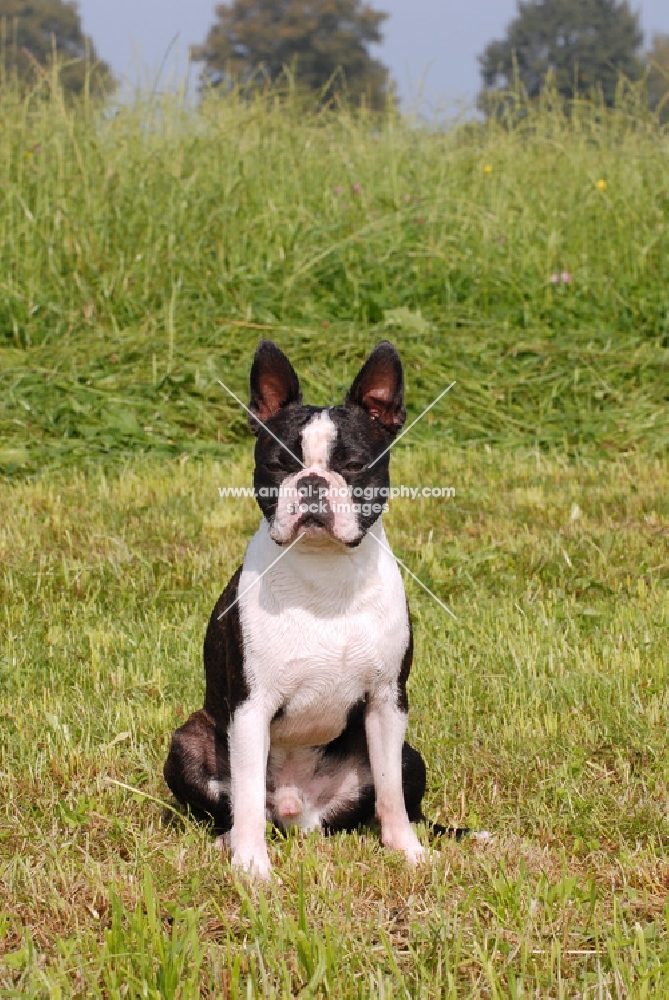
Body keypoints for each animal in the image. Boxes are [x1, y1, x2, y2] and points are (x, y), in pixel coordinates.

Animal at [164, 338, 430, 876]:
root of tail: (295, 813)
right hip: (187, 741)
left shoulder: (387, 701)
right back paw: (230, 842)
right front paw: (251, 868)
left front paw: (406, 850)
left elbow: (390, 791)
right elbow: (245, 794)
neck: (324, 572)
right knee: (237, 805)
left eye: (354, 466)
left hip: (412, 755)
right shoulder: (250, 707)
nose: (311, 481)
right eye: (278, 464)